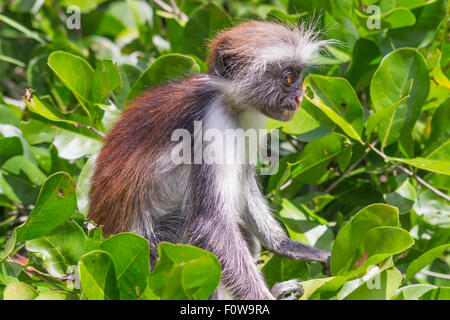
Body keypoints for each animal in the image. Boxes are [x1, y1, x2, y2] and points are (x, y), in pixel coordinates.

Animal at [89, 20, 332, 300]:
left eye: (299, 76)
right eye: (288, 78)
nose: (299, 97)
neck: (230, 103)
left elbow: (244, 185)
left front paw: (286, 245)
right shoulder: (214, 123)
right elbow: (211, 227)